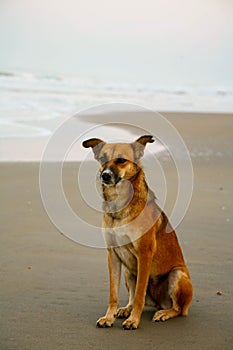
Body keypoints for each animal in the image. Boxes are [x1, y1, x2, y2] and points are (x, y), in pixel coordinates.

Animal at [83, 135, 192, 330]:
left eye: (121, 160)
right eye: (102, 159)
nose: (105, 175)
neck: (119, 205)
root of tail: (159, 303)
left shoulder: (144, 254)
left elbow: (140, 294)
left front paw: (134, 320)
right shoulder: (113, 255)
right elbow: (113, 294)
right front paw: (109, 317)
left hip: (177, 275)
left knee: (178, 308)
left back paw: (164, 313)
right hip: (128, 272)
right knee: (133, 297)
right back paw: (127, 308)